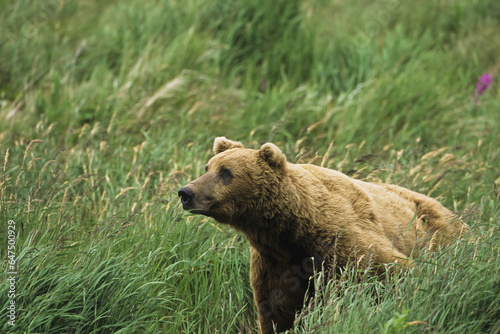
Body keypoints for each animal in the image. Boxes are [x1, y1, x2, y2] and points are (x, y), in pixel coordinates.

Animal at [178, 136, 466, 334]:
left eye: (226, 172)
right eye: (207, 167)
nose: (185, 192)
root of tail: (452, 211)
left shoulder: (343, 240)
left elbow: (392, 269)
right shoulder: (276, 263)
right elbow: (277, 309)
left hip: (439, 233)